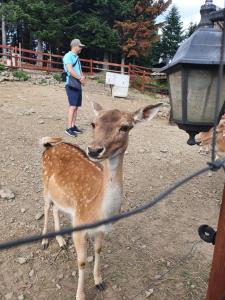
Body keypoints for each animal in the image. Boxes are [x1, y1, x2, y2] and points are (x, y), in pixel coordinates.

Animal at [40, 101, 163, 300]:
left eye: (125, 127)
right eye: (93, 123)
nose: (94, 150)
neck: (99, 211)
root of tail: (49, 146)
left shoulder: (101, 229)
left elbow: (98, 250)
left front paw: (99, 282)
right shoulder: (78, 225)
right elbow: (82, 261)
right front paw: (80, 295)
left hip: (59, 195)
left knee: (56, 208)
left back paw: (61, 241)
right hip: (44, 182)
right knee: (45, 206)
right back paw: (44, 242)